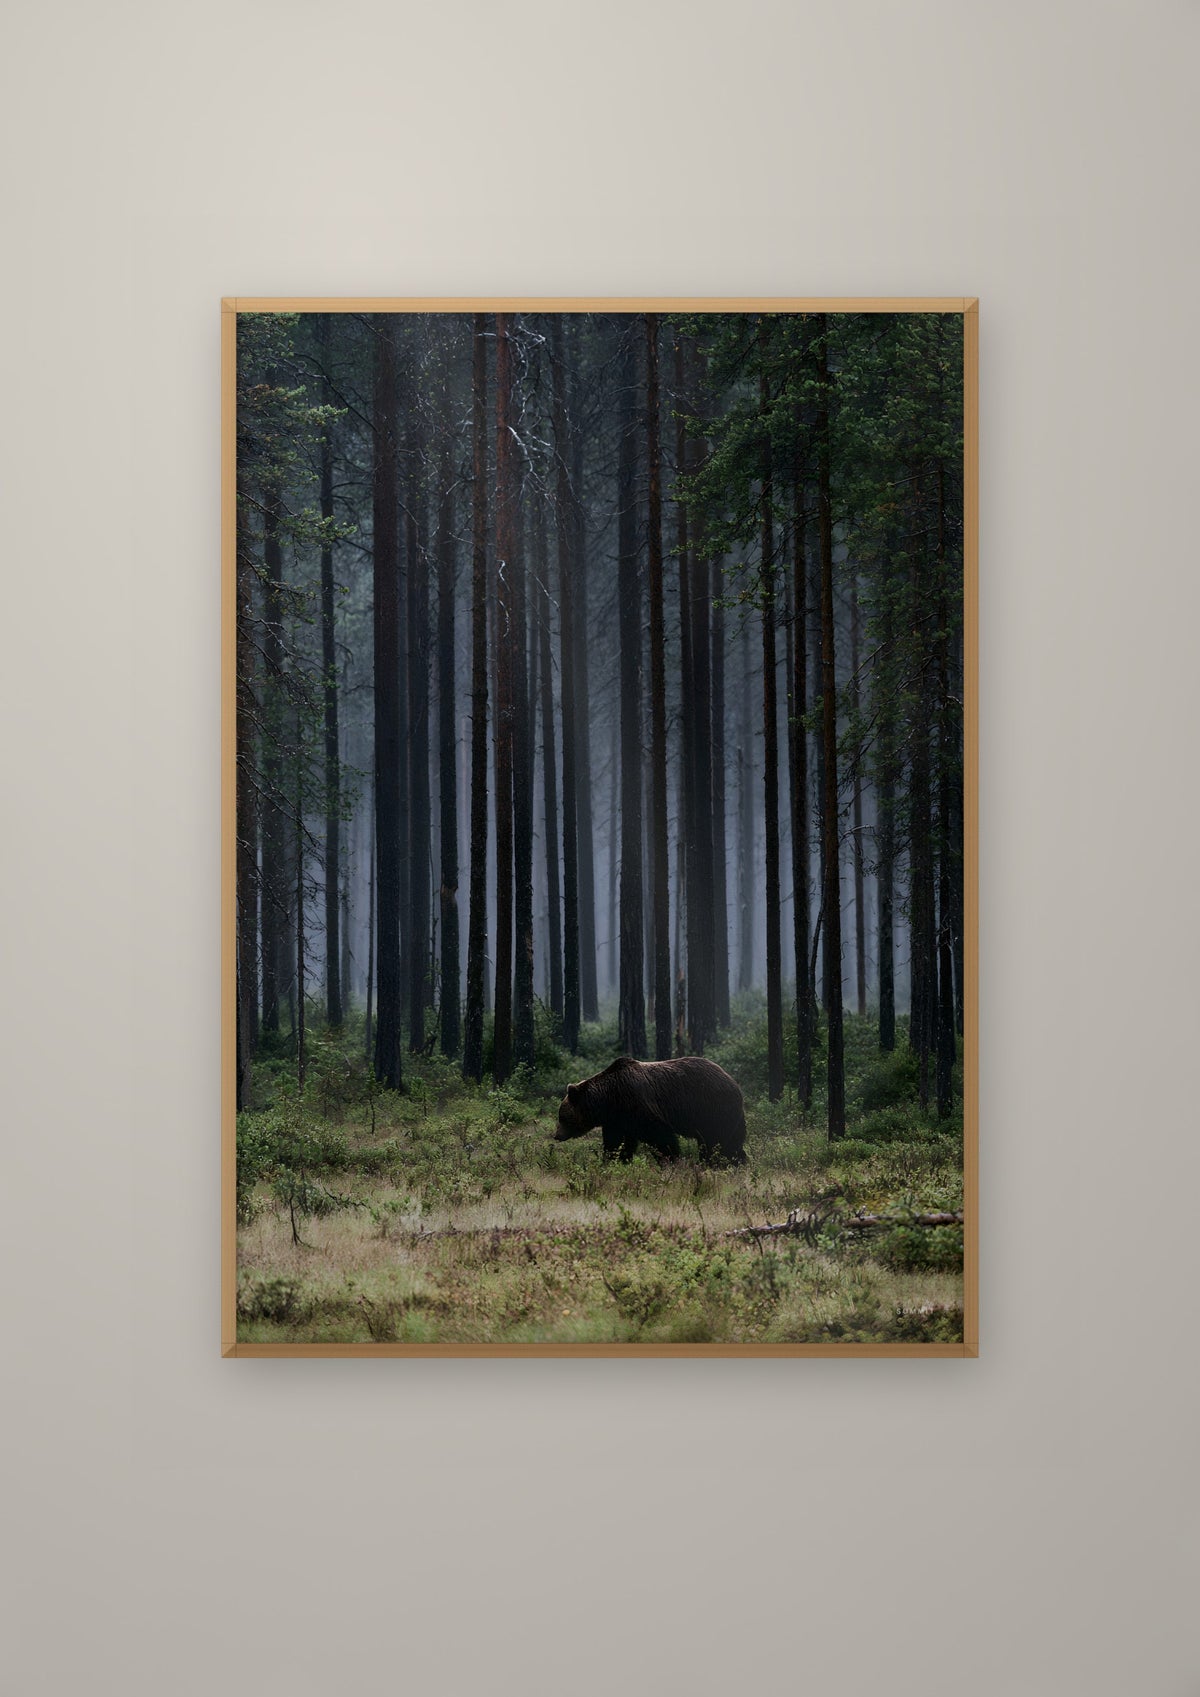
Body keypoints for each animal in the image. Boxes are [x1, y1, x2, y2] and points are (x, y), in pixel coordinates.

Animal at [553, 1054, 747, 1166]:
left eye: (561, 1117)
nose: (556, 1135)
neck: (609, 1099)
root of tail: (734, 1083)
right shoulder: (618, 1119)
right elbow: (617, 1142)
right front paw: (613, 1160)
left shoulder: (638, 1104)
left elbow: (660, 1135)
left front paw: (671, 1160)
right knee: (732, 1141)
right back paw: (738, 1162)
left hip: (713, 1108)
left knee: (715, 1142)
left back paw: (712, 1163)